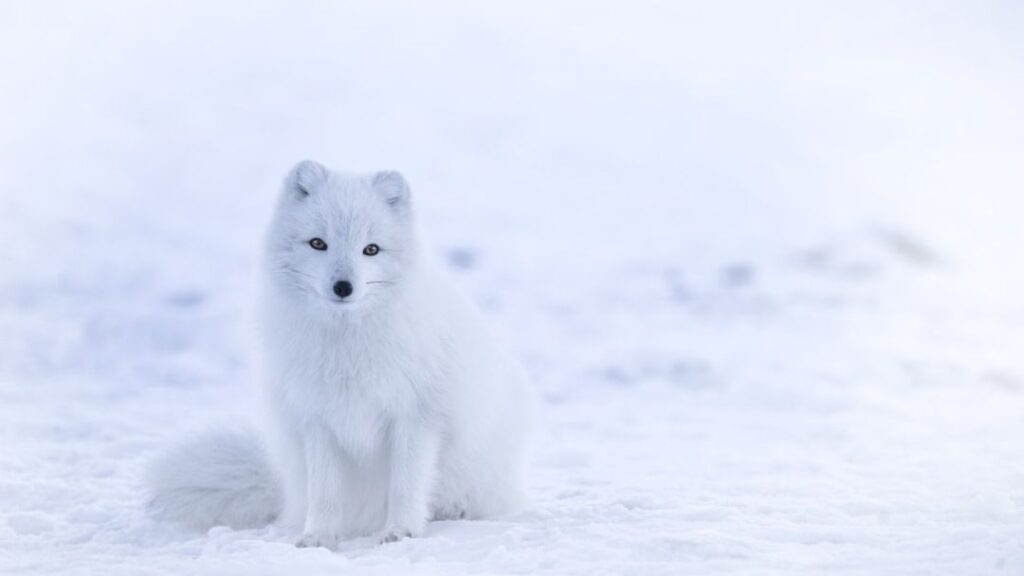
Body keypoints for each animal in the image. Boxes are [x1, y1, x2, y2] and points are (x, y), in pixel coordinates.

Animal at [146, 160, 534, 549]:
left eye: (371, 249)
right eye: (319, 243)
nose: (343, 287)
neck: (347, 346)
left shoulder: (416, 416)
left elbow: (406, 484)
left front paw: (401, 531)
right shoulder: (318, 419)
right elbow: (325, 492)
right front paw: (317, 537)